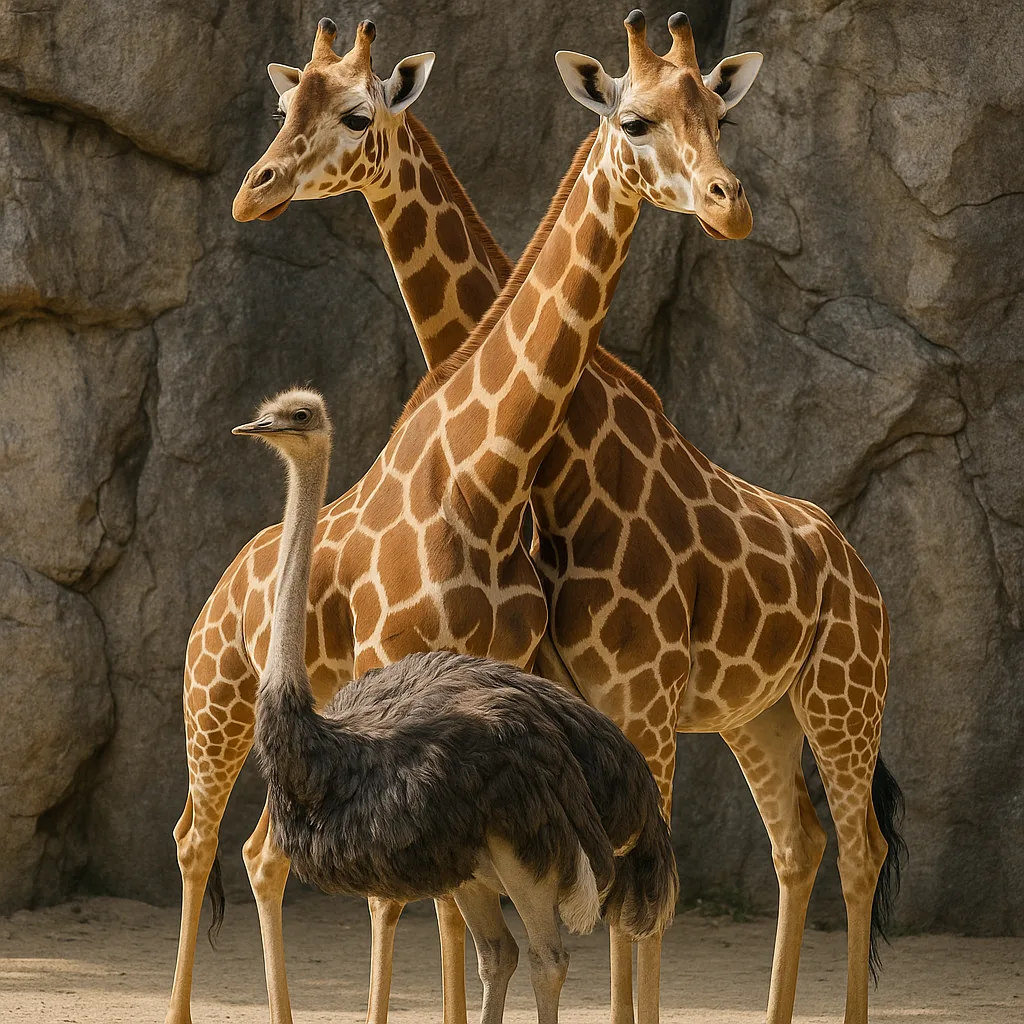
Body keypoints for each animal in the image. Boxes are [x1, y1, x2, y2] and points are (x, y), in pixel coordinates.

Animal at [174, 12, 762, 1024]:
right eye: (288, 105)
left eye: (717, 115)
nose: (256, 189)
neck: (489, 475)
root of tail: (223, 589)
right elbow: (419, 912)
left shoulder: (526, 689)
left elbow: (469, 918)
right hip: (213, 704)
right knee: (201, 843)